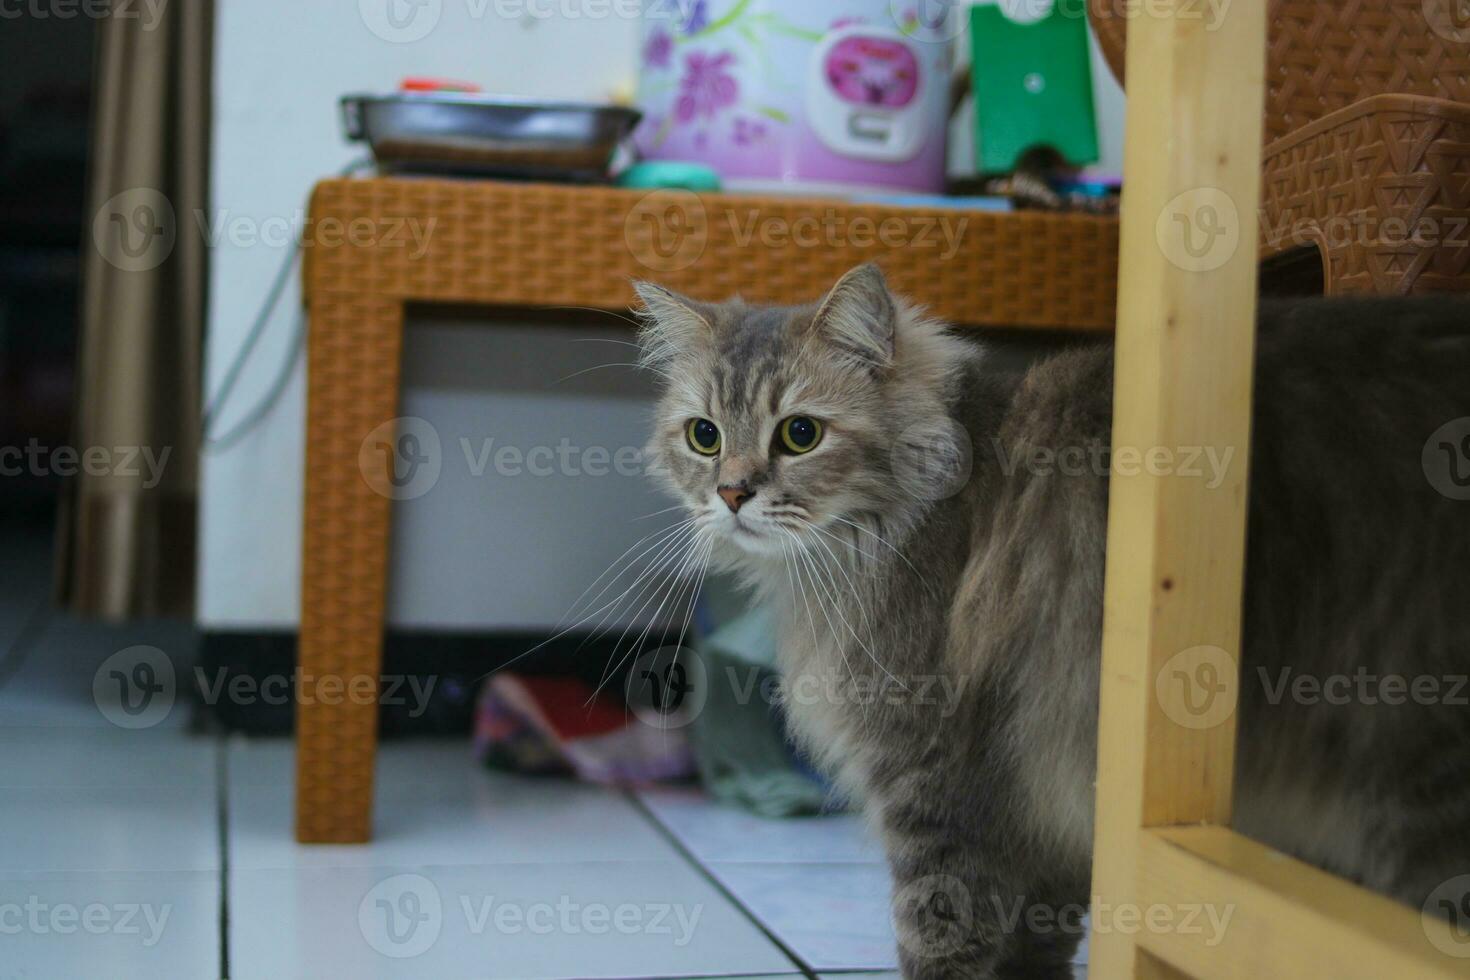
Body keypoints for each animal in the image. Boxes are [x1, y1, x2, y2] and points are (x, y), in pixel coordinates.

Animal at [632, 264, 1470, 975]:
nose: (732, 494)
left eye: (799, 434)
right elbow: (1036, 944)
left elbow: (943, 937)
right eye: (705, 435)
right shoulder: (1055, 813)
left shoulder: (937, 783)